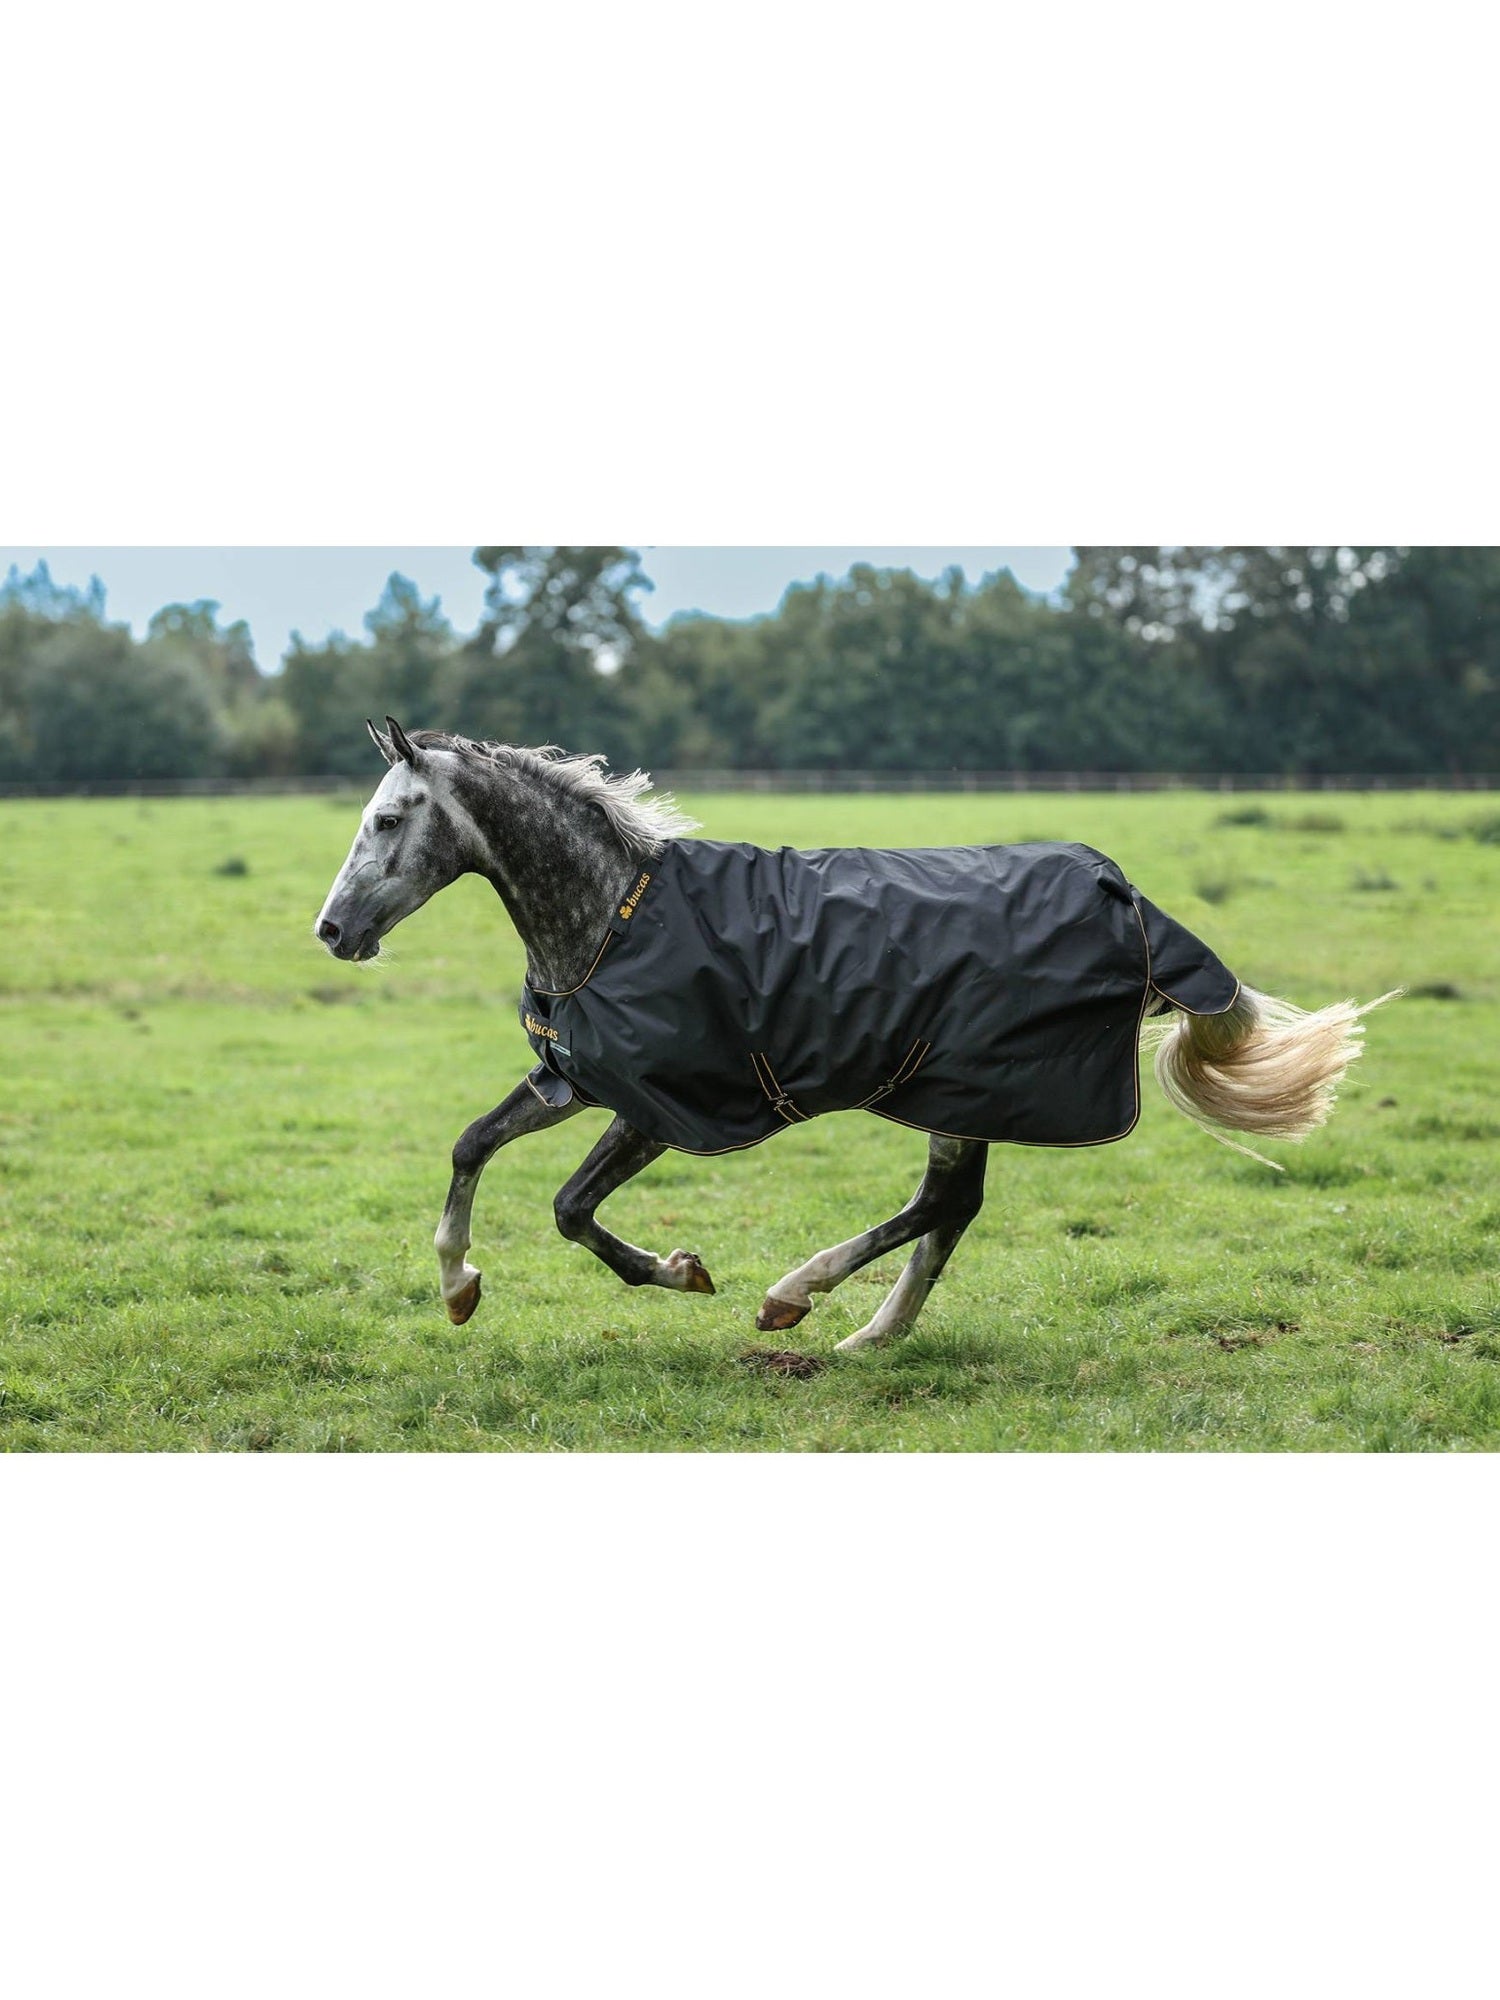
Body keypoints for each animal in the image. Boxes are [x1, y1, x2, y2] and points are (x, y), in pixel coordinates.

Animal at [315, 718, 1388, 1353]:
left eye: (391, 818)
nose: (333, 930)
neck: (611, 917)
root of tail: (1132, 904)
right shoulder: (578, 1077)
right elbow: (471, 1145)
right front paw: (459, 1287)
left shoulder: (663, 1104)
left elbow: (572, 1208)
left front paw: (682, 1272)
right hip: (961, 1091)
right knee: (952, 1209)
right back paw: (872, 1334)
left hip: (960, 1085)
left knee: (943, 1202)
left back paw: (797, 1296)